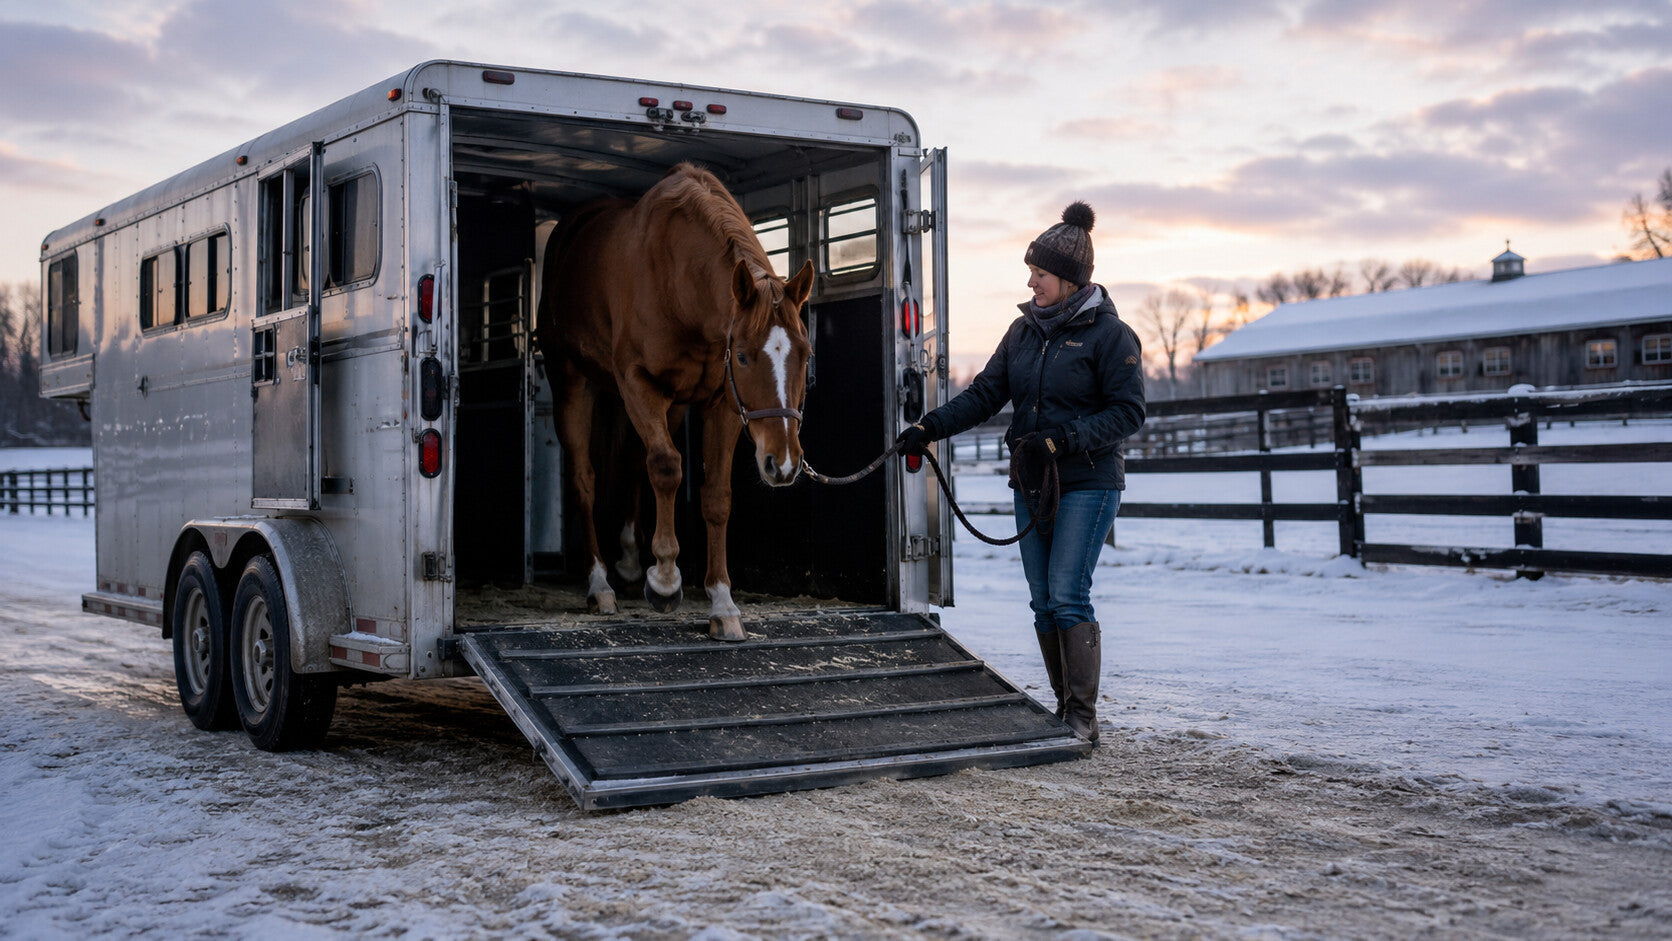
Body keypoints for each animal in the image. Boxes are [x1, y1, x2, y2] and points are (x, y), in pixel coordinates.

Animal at [536, 163, 816, 641]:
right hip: (573, 382)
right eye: (743, 355)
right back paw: (600, 584)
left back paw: (630, 562)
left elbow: (715, 495)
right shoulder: (639, 382)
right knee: (585, 478)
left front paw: (722, 601)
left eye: (806, 354)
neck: (678, 278)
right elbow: (667, 468)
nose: (782, 463)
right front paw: (665, 578)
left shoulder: (722, 403)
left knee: (633, 463)